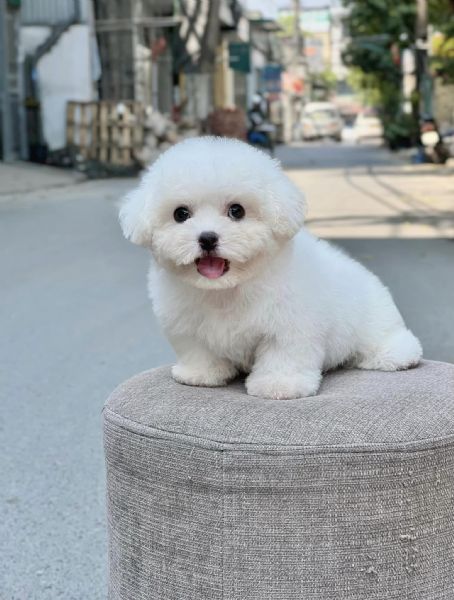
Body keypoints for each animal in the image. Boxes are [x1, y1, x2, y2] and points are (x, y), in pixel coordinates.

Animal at [120, 136, 422, 398]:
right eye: (181, 214)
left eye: (237, 210)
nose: (207, 238)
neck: (226, 289)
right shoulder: (185, 325)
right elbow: (197, 349)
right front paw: (201, 374)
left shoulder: (291, 324)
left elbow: (284, 354)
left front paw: (280, 385)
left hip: (375, 322)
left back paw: (396, 355)